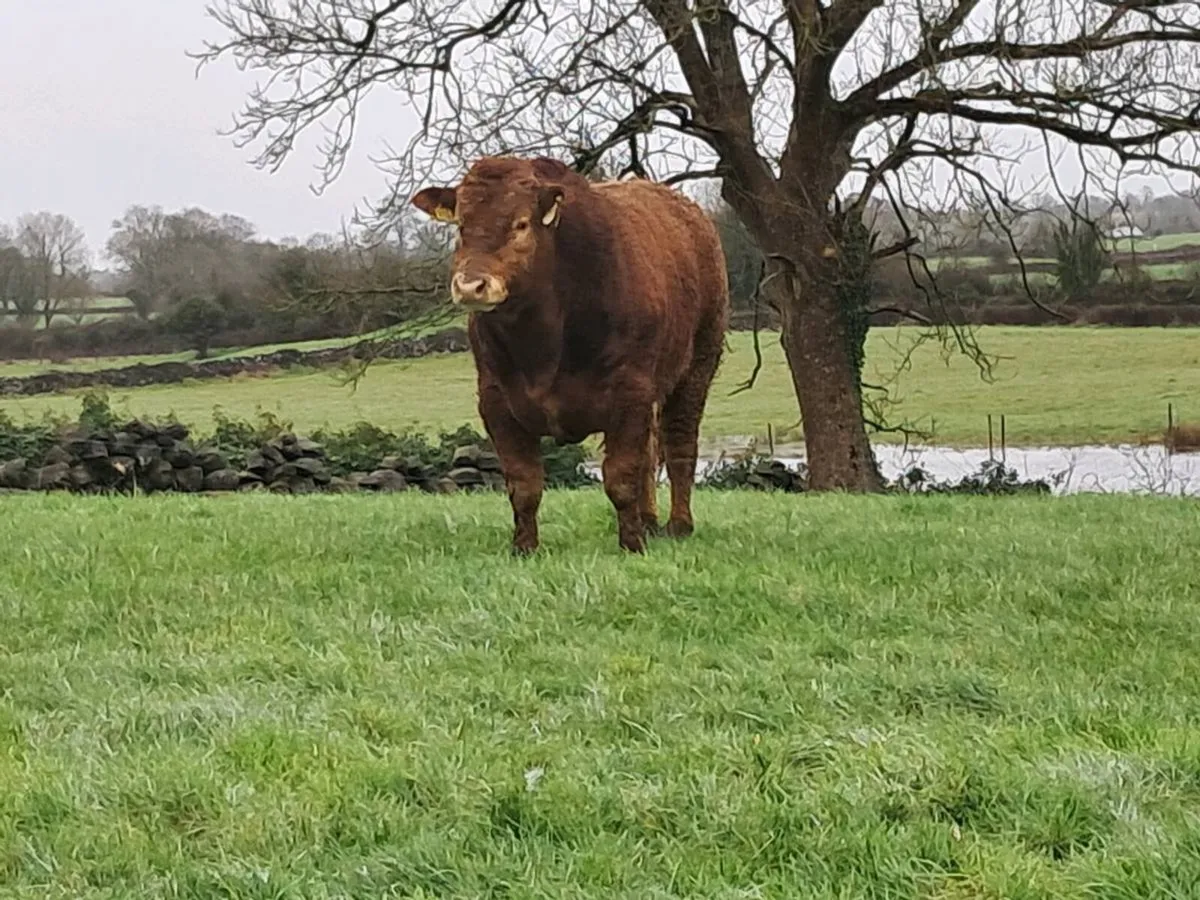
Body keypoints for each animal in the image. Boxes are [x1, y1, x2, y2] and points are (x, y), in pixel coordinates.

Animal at [411, 156, 729, 554]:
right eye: (460, 226)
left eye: (520, 223)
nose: (471, 286)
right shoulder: (495, 401)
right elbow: (524, 484)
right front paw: (524, 548)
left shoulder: (631, 391)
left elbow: (620, 476)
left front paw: (631, 545)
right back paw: (649, 521)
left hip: (698, 364)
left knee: (679, 442)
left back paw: (679, 525)